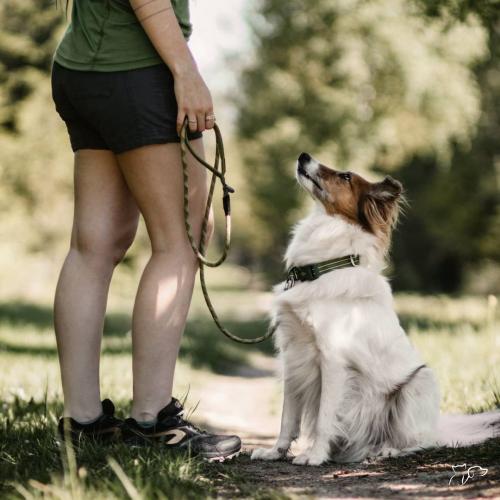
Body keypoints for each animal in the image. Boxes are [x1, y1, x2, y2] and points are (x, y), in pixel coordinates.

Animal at [254, 152, 500, 464]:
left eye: (345, 176)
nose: (303, 155)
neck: (323, 268)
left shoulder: (332, 359)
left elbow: (324, 417)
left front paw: (315, 455)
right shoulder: (292, 355)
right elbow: (288, 418)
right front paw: (276, 451)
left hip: (421, 382)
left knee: (423, 441)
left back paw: (387, 450)